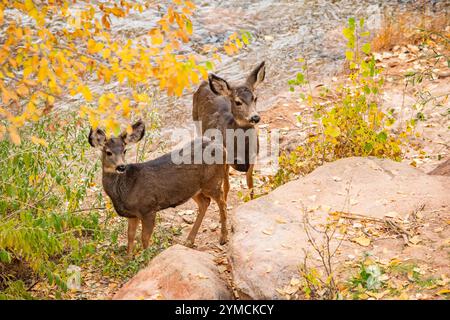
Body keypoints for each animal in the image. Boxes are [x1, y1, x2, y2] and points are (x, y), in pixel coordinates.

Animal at [88, 120, 229, 255]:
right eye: (108, 152)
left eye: (124, 150)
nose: (121, 167)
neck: (125, 190)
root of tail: (223, 148)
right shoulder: (133, 215)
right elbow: (130, 236)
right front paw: (128, 259)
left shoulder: (148, 208)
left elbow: (144, 238)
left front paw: (147, 258)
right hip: (194, 189)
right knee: (205, 202)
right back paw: (189, 241)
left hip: (212, 181)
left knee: (222, 201)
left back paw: (223, 238)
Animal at [192, 61, 266, 199]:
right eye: (237, 102)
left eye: (255, 98)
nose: (255, 117)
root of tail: (204, 83)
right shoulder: (225, 159)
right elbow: (226, 186)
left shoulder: (253, 158)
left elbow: (250, 184)